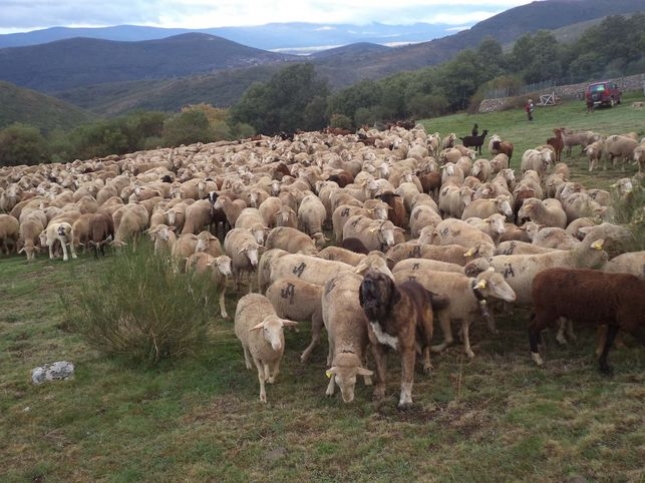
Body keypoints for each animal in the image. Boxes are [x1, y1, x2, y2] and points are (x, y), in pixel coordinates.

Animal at [360, 270, 446, 410]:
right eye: (366, 276)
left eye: (381, 279)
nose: (367, 282)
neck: (384, 316)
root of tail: (421, 286)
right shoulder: (378, 349)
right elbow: (380, 374)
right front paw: (379, 393)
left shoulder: (406, 349)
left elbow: (406, 377)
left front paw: (405, 401)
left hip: (426, 330)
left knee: (426, 347)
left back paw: (427, 365)